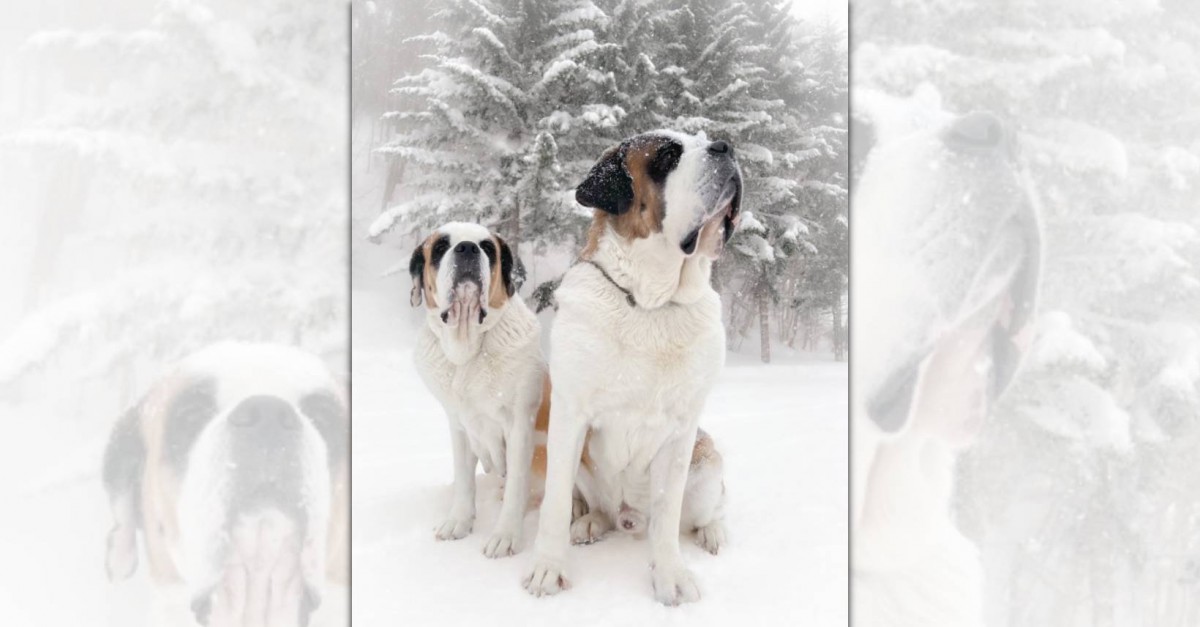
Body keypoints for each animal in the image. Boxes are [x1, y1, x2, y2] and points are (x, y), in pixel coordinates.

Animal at [408, 221, 549, 557]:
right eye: (441, 247)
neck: (469, 350)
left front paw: (505, 536)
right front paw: (459, 522)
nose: (468, 248)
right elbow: (464, 479)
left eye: (487, 247)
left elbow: (516, 487)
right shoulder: (458, 425)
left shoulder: (519, 426)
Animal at [525, 129, 739, 602]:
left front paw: (671, 576)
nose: (727, 147)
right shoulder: (569, 415)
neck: (650, 303)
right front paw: (548, 569)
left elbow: (667, 512)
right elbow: (553, 505)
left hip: (707, 461)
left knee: (706, 510)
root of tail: (629, 517)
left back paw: (714, 532)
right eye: (667, 156)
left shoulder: (682, 430)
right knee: (593, 506)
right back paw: (590, 522)